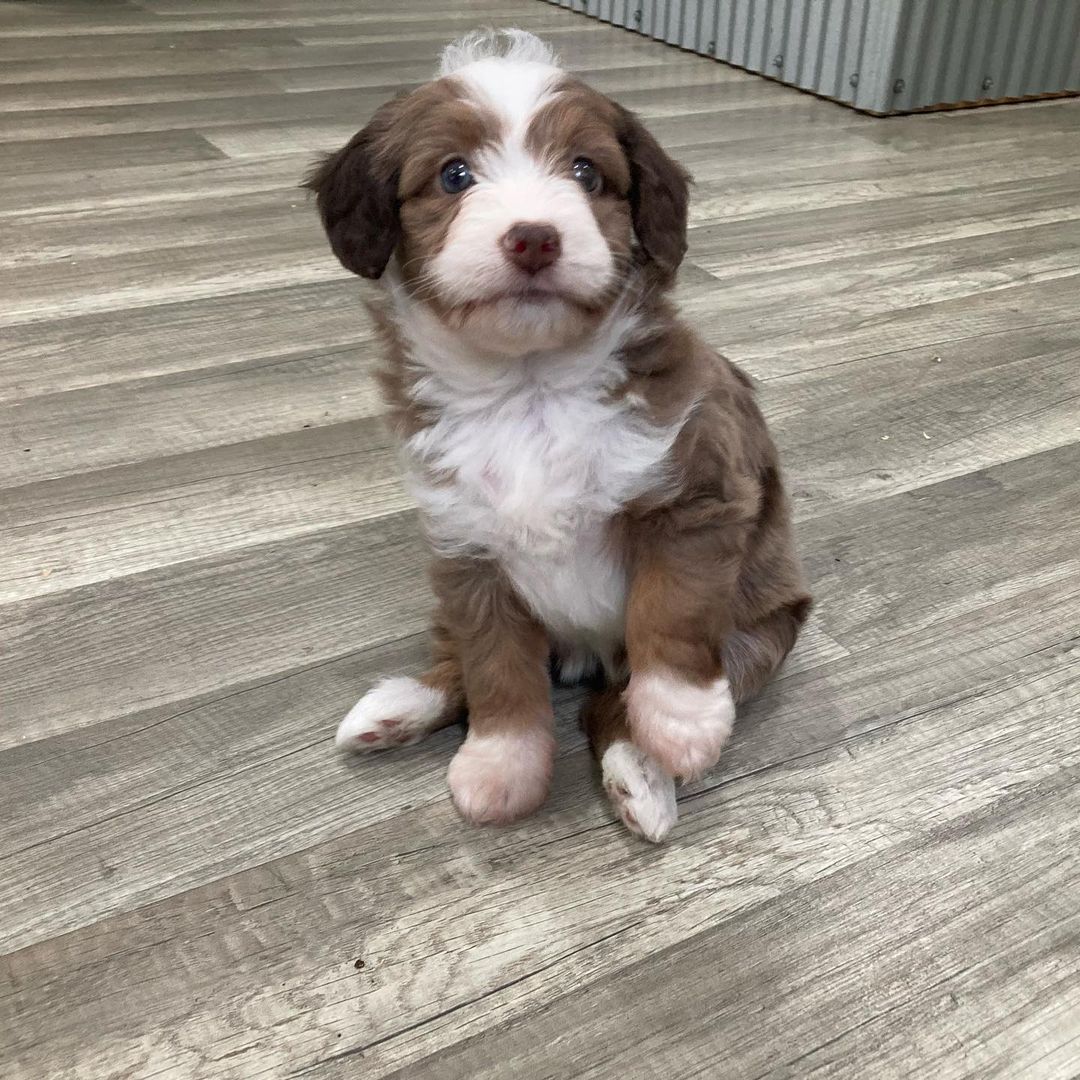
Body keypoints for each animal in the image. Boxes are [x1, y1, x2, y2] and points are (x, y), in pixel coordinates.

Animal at [305, 29, 810, 842]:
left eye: (586, 172)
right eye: (453, 175)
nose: (534, 239)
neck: (531, 391)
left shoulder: (695, 501)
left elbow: (671, 616)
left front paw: (682, 724)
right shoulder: (466, 549)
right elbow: (494, 668)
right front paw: (500, 765)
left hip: (761, 634)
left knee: (613, 703)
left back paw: (641, 770)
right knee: (458, 659)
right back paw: (401, 705)